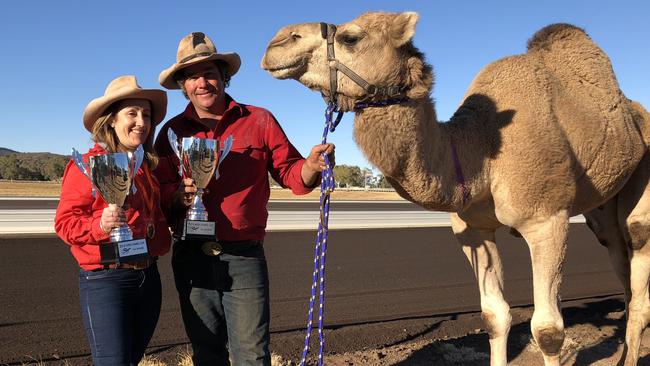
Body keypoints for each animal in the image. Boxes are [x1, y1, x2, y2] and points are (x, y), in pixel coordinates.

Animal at [260, 11, 644, 366]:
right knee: (622, 270)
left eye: (351, 38)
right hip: (602, 209)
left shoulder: (546, 220)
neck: (483, 148)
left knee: (638, 271)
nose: (276, 43)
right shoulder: (471, 228)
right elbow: (494, 316)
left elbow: (548, 330)